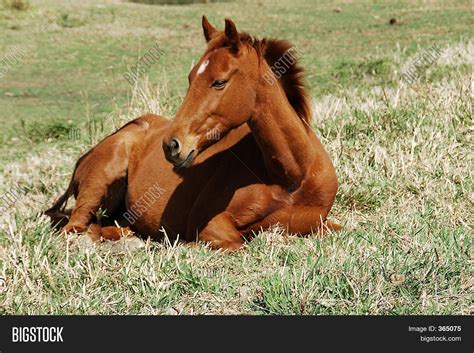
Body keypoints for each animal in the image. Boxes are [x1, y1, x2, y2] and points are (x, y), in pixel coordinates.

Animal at [45, 15, 340, 249]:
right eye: (190, 78)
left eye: (219, 82)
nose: (171, 145)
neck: (292, 175)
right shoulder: (210, 224)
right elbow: (236, 243)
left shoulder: (321, 223)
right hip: (99, 184)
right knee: (75, 229)